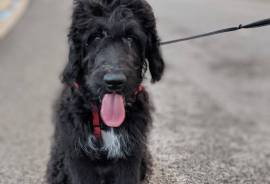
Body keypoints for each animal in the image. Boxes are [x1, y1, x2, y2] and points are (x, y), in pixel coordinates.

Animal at [46, 0, 165, 183]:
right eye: (96, 37)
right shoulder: (78, 157)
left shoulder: (131, 156)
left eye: (131, 38)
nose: (114, 81)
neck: (105, 123)